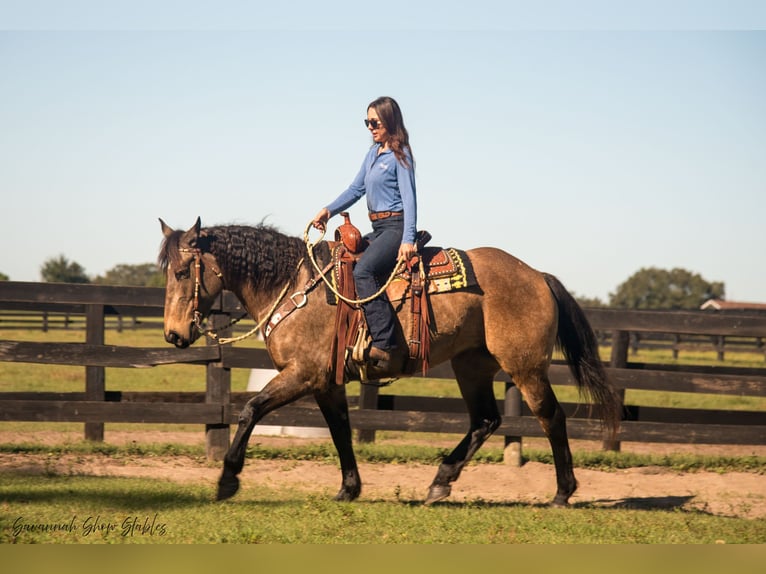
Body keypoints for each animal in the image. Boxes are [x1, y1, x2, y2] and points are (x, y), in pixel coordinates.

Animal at [159, 218, 620, 506]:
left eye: (183, 272)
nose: (173, 334)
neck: (294, 283)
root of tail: (538, 275)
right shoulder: (326, 382)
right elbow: (341, 431)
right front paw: (349, 488)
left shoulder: (303, 375)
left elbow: (251, 410)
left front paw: (227, 479)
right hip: (471, 366)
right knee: (486, 420)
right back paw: (440, 482)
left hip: (525, 368)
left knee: (551, 417)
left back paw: (562, 492)